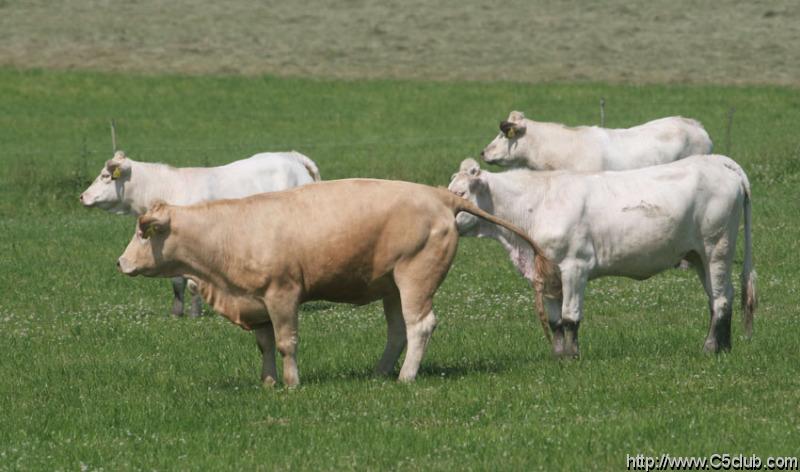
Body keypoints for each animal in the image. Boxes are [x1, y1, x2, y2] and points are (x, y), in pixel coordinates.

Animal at [80, 151, 318, 318]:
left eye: (105, 176)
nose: (82, 196)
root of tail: (291, 156)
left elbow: (194, 284)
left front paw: (195, 314)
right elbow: (177, 283)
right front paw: (177, 313)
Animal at [115, 179, 556, 386]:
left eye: (142, 233)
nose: (120, 262)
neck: (231, 231)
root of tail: (440, 197)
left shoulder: (283, 294)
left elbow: (286, 342)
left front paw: (291, 383)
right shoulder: (255, 303)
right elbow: (265, 346)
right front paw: (268, 382)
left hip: (415, 278)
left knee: (420, 326)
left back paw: (405, 376)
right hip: (391, 286)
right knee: (397, 330)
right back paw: (380, 373)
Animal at [450, 155, 756, 358]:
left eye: (461, 192)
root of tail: (719, 161)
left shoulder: (575, 267)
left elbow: (570, 317)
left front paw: (572, 357)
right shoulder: (547, 275)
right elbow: (555, 321)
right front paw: (558, 357)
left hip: (717, 248)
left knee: (721, 299)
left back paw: (710, 348)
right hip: (698, 256)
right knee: (720, 296)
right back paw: (724, 346)